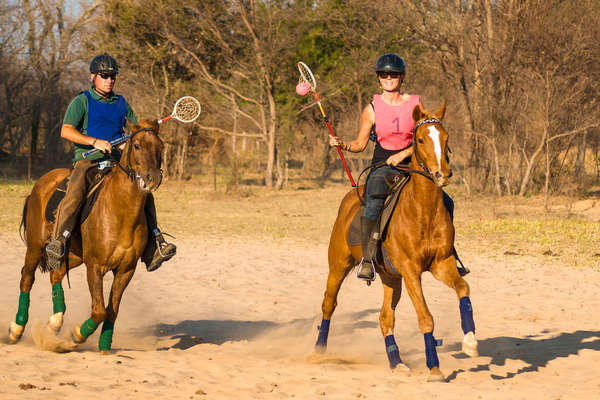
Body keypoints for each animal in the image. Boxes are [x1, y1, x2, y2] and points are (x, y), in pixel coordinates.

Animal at [9, 120, 164, 352]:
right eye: (136, 145)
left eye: (160, 147)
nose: (151, 178)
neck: (121, 211)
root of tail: (42, 181)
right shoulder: (95, 266)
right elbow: (99, 310)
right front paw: (77, 335)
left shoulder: (126, 269)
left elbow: (111, 310)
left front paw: (104, 345)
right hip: (36, 246)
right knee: (27, 278)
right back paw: (17, 329)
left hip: (72, 255)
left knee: (56, 275)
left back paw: (55, 322)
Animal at [314, 102, 478, 382]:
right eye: (420, 139)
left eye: (446, 137)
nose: (442, 174)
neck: (423, 210)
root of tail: (351, 193)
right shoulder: (411, 270)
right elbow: (425, 317)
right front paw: (434, 368)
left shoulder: (441, 264)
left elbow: (463, 290)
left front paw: (469, 342)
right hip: (338, 264)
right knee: (329, 303)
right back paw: (319, 349)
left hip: (390, 277)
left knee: (384, 318)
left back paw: (397, 362)